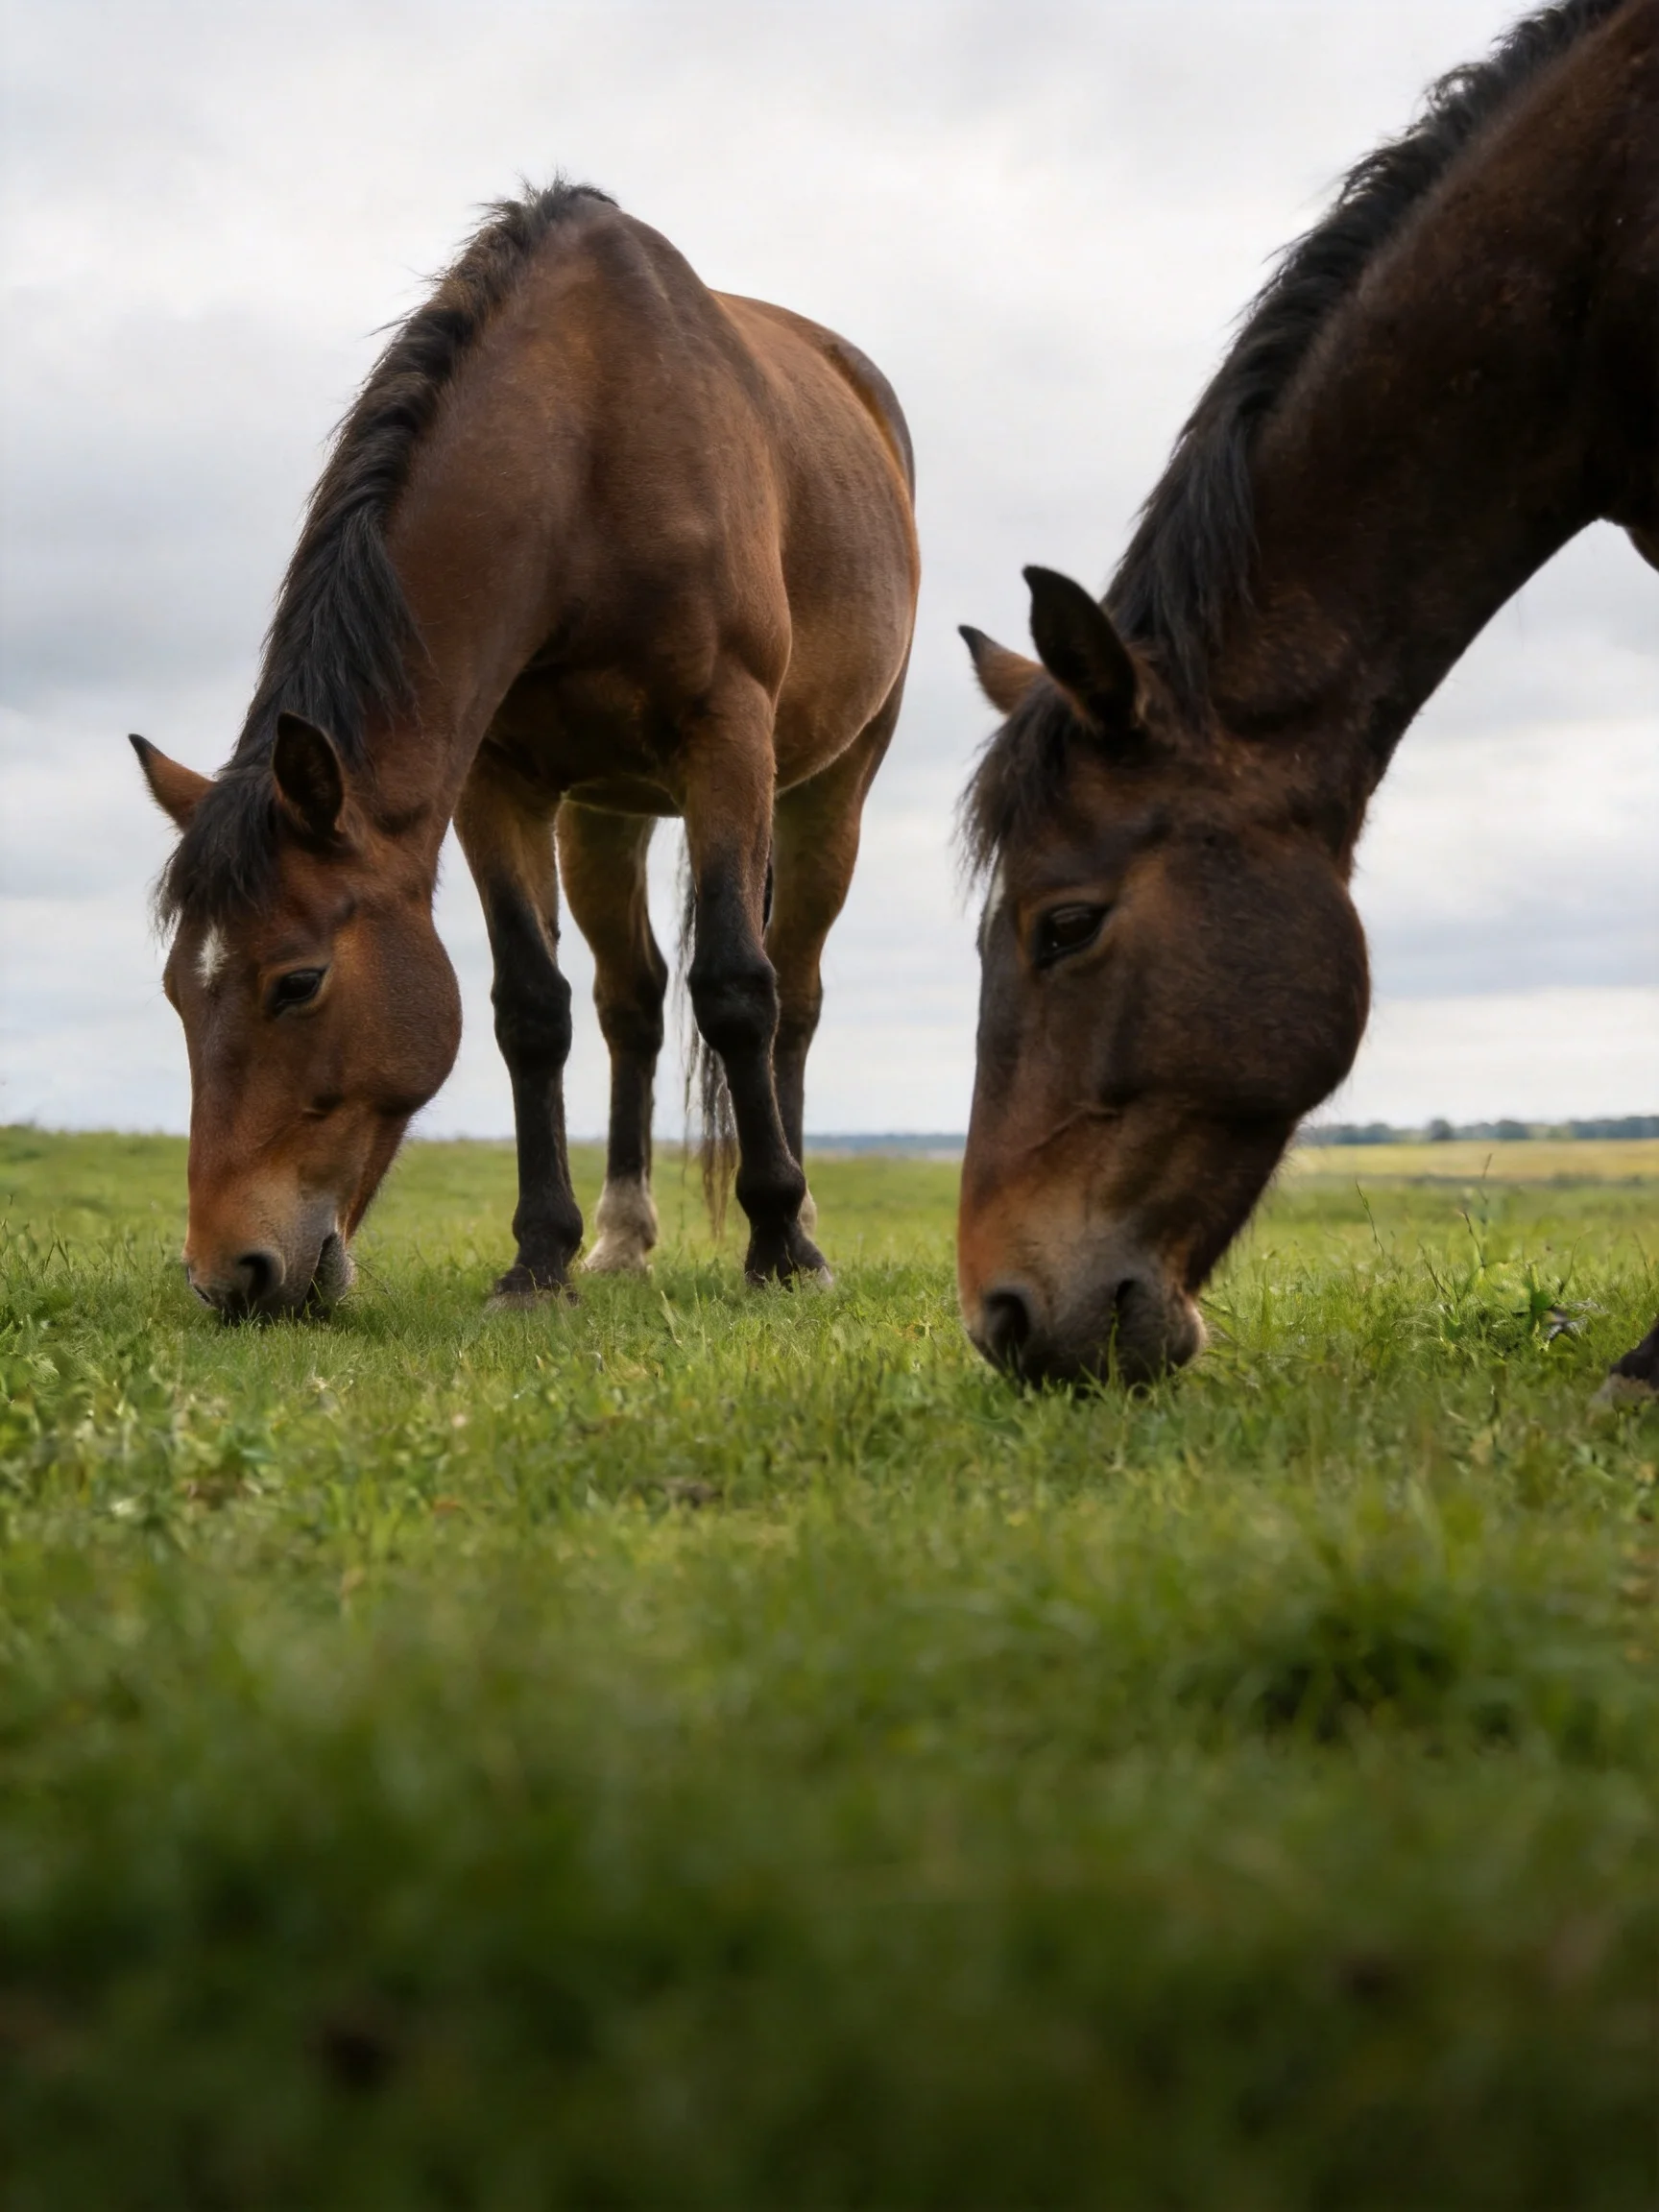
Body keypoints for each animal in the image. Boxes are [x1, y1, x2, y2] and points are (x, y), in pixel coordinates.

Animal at [132, 184, 919, 1318]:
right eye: (177, 993)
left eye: (299, 981)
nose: (228, 1275)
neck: (587, 448)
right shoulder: (498, 780)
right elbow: (530, 1007)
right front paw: (540, 1258)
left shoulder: (726, 738)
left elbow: (738, 988)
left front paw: (781, 1248)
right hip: (605, 815)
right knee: (631, 1000)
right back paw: (625, 1236)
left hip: (829, 791)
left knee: (796, 994)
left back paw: (800, 1214)